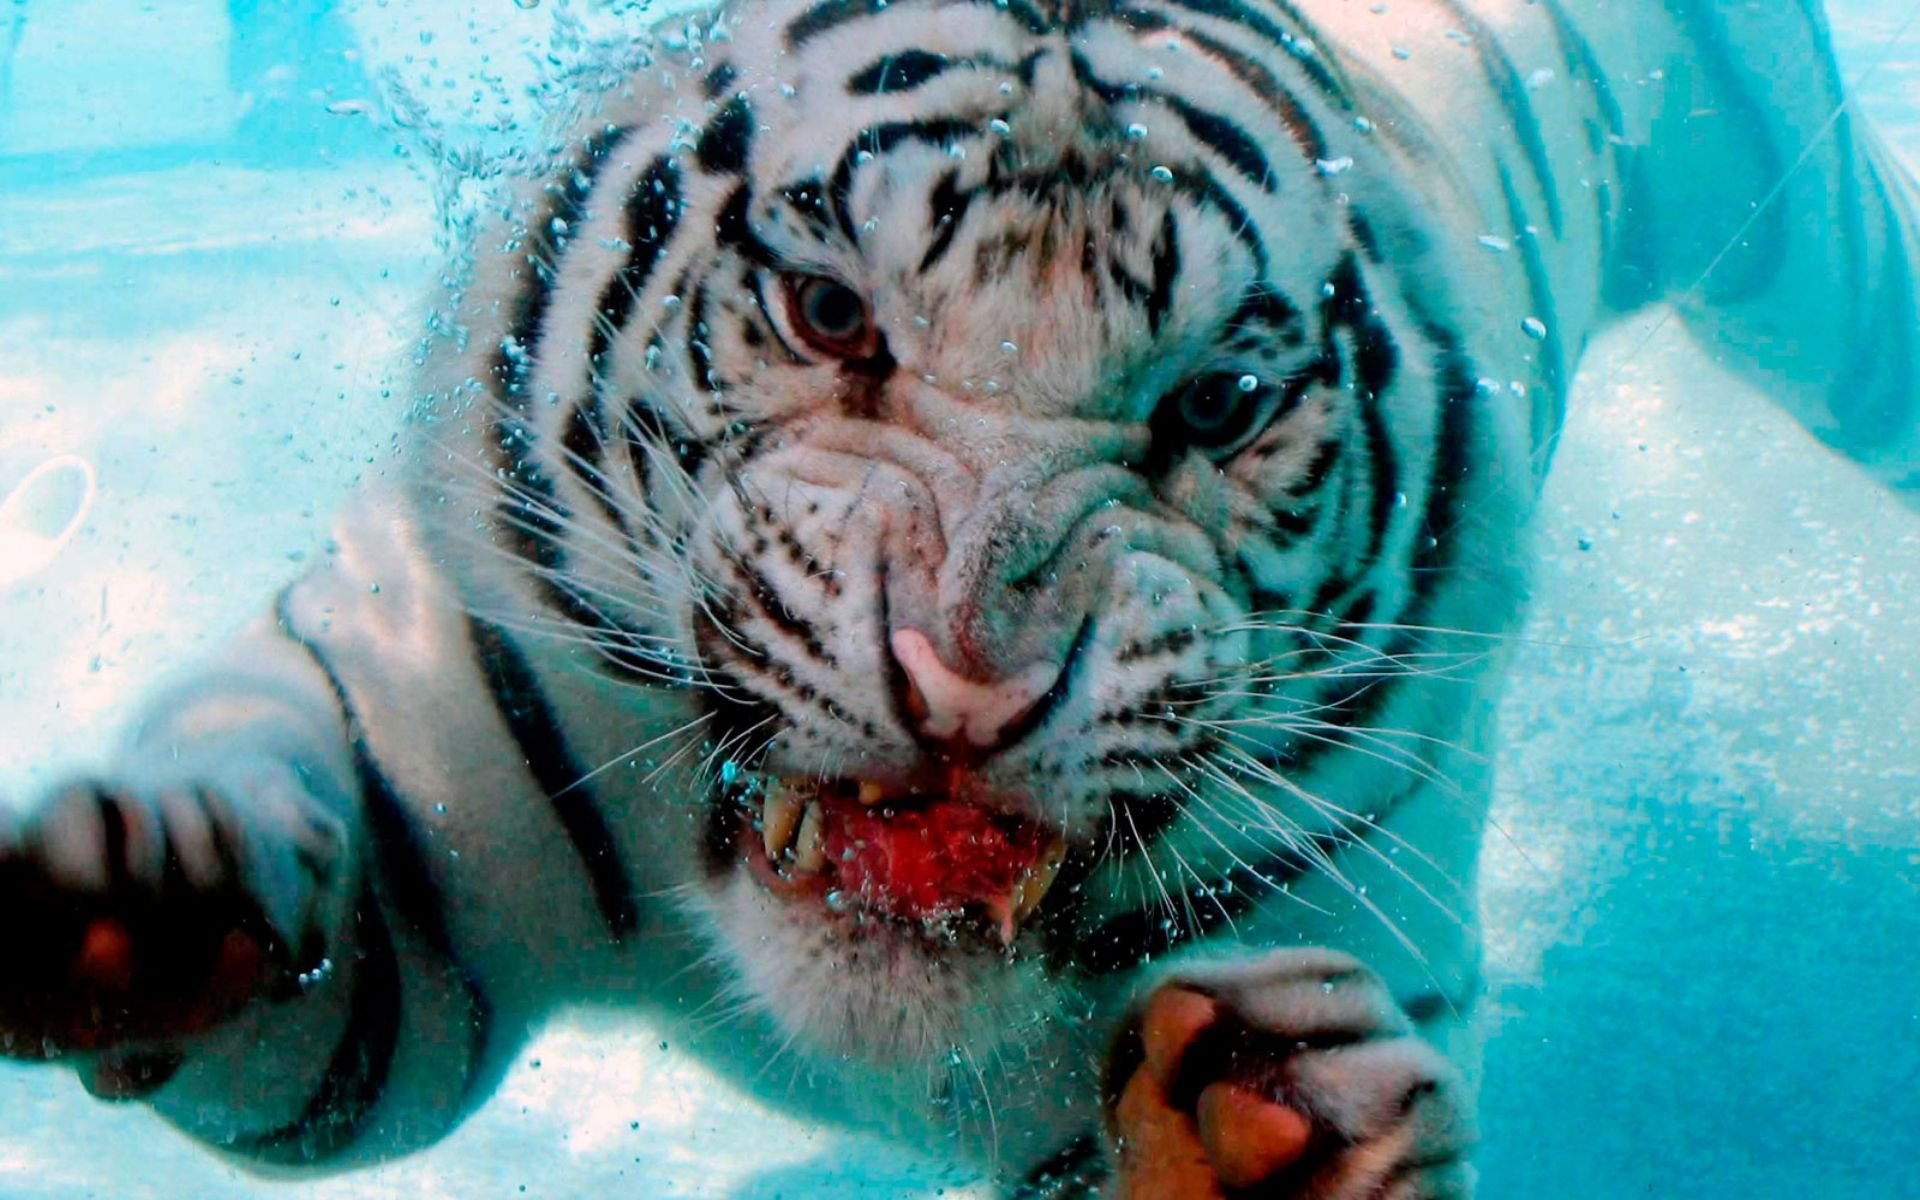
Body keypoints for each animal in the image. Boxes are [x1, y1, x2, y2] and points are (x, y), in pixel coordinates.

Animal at [2, 0, 1915, 1196]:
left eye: (1217, 403)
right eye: (831, 314)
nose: (973, 680)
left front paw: (1277, 1135)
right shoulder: (429, 774)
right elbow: (301, 935)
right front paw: (143, 894)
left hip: (1803, 240)